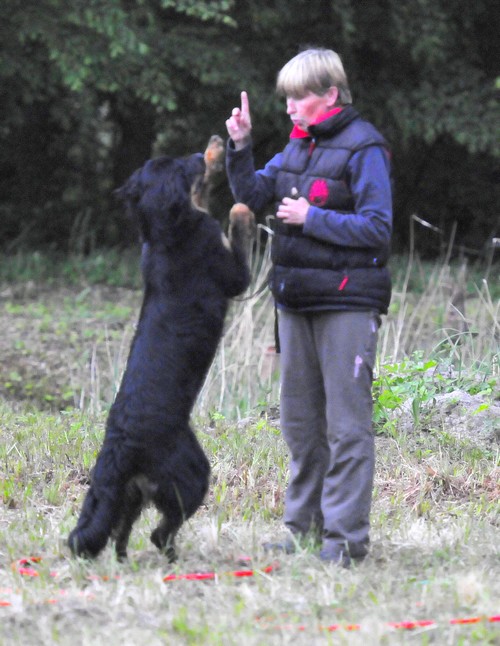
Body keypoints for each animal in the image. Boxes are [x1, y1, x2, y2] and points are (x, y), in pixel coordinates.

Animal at [67, 135, 254, 560]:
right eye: (187, 163)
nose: (213, 143)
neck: (165, 230)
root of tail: (118, 451)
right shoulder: (232, 272)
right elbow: (237, 237)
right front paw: (240, 211)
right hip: (191, 474)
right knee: (161, 530)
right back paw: (173, 557)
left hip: (130, 494)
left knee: (120, 531)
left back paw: (126, 562)